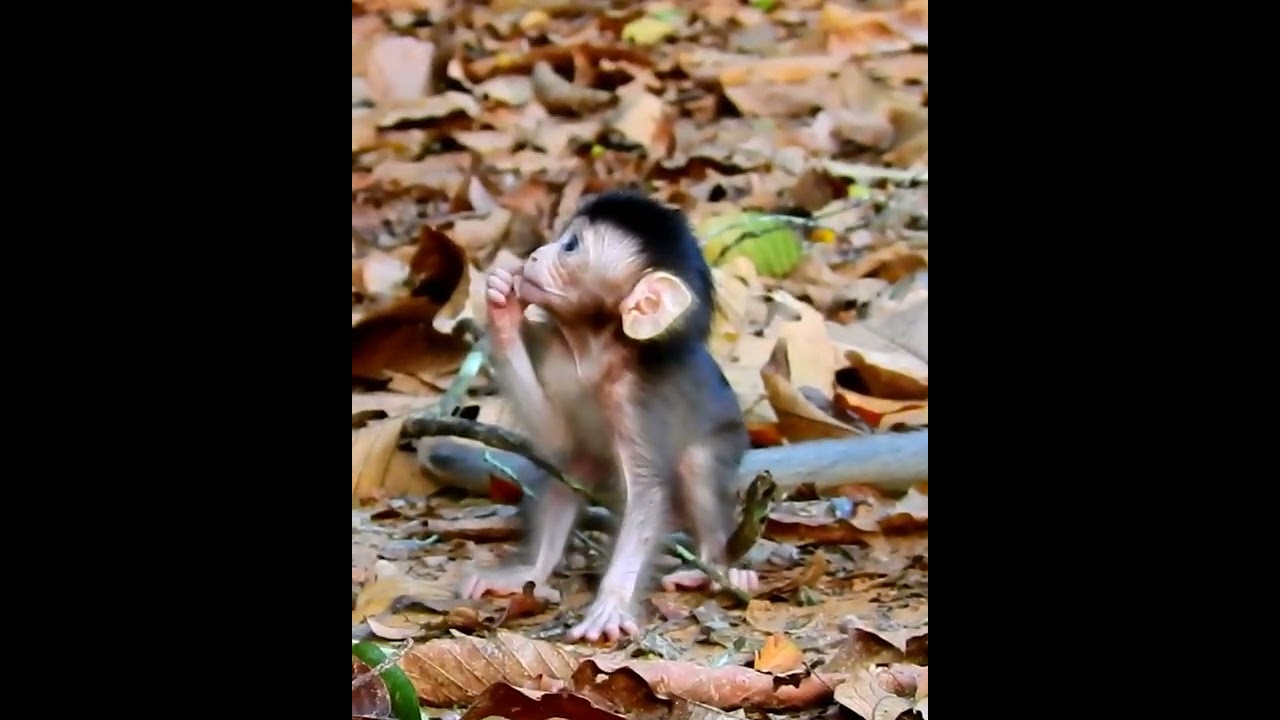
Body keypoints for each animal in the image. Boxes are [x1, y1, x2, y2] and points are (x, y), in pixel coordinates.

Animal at [458, 191, 760, 643]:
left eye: (570, 246)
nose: (534, 255)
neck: (595, 347)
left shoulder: (637, 397)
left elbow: (647, 491)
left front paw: (613, 602)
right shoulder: (556, 353)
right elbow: (556, 439)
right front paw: (502, 305)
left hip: (726, 435)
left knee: (697, 467)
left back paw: (716, 569)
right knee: (573, 464)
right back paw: (532, 573)